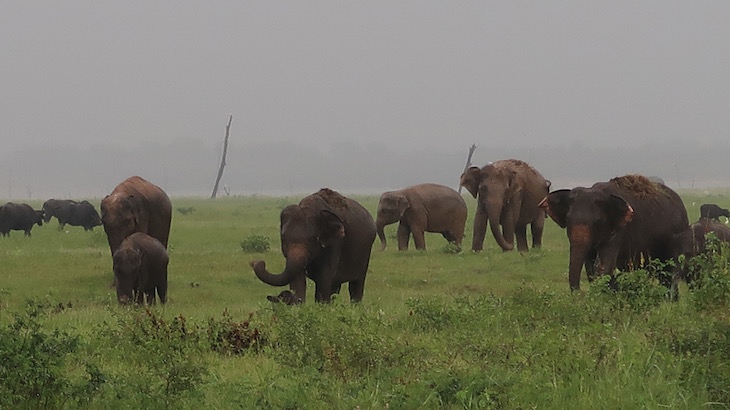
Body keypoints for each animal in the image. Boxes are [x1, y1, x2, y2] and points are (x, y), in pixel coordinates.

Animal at [536, 175, 688, 290]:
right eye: (568, 219)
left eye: (597, 222)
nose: (580, 294)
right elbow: (590, 265)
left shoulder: (619, 230)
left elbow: (605, 265)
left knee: (670, 273)